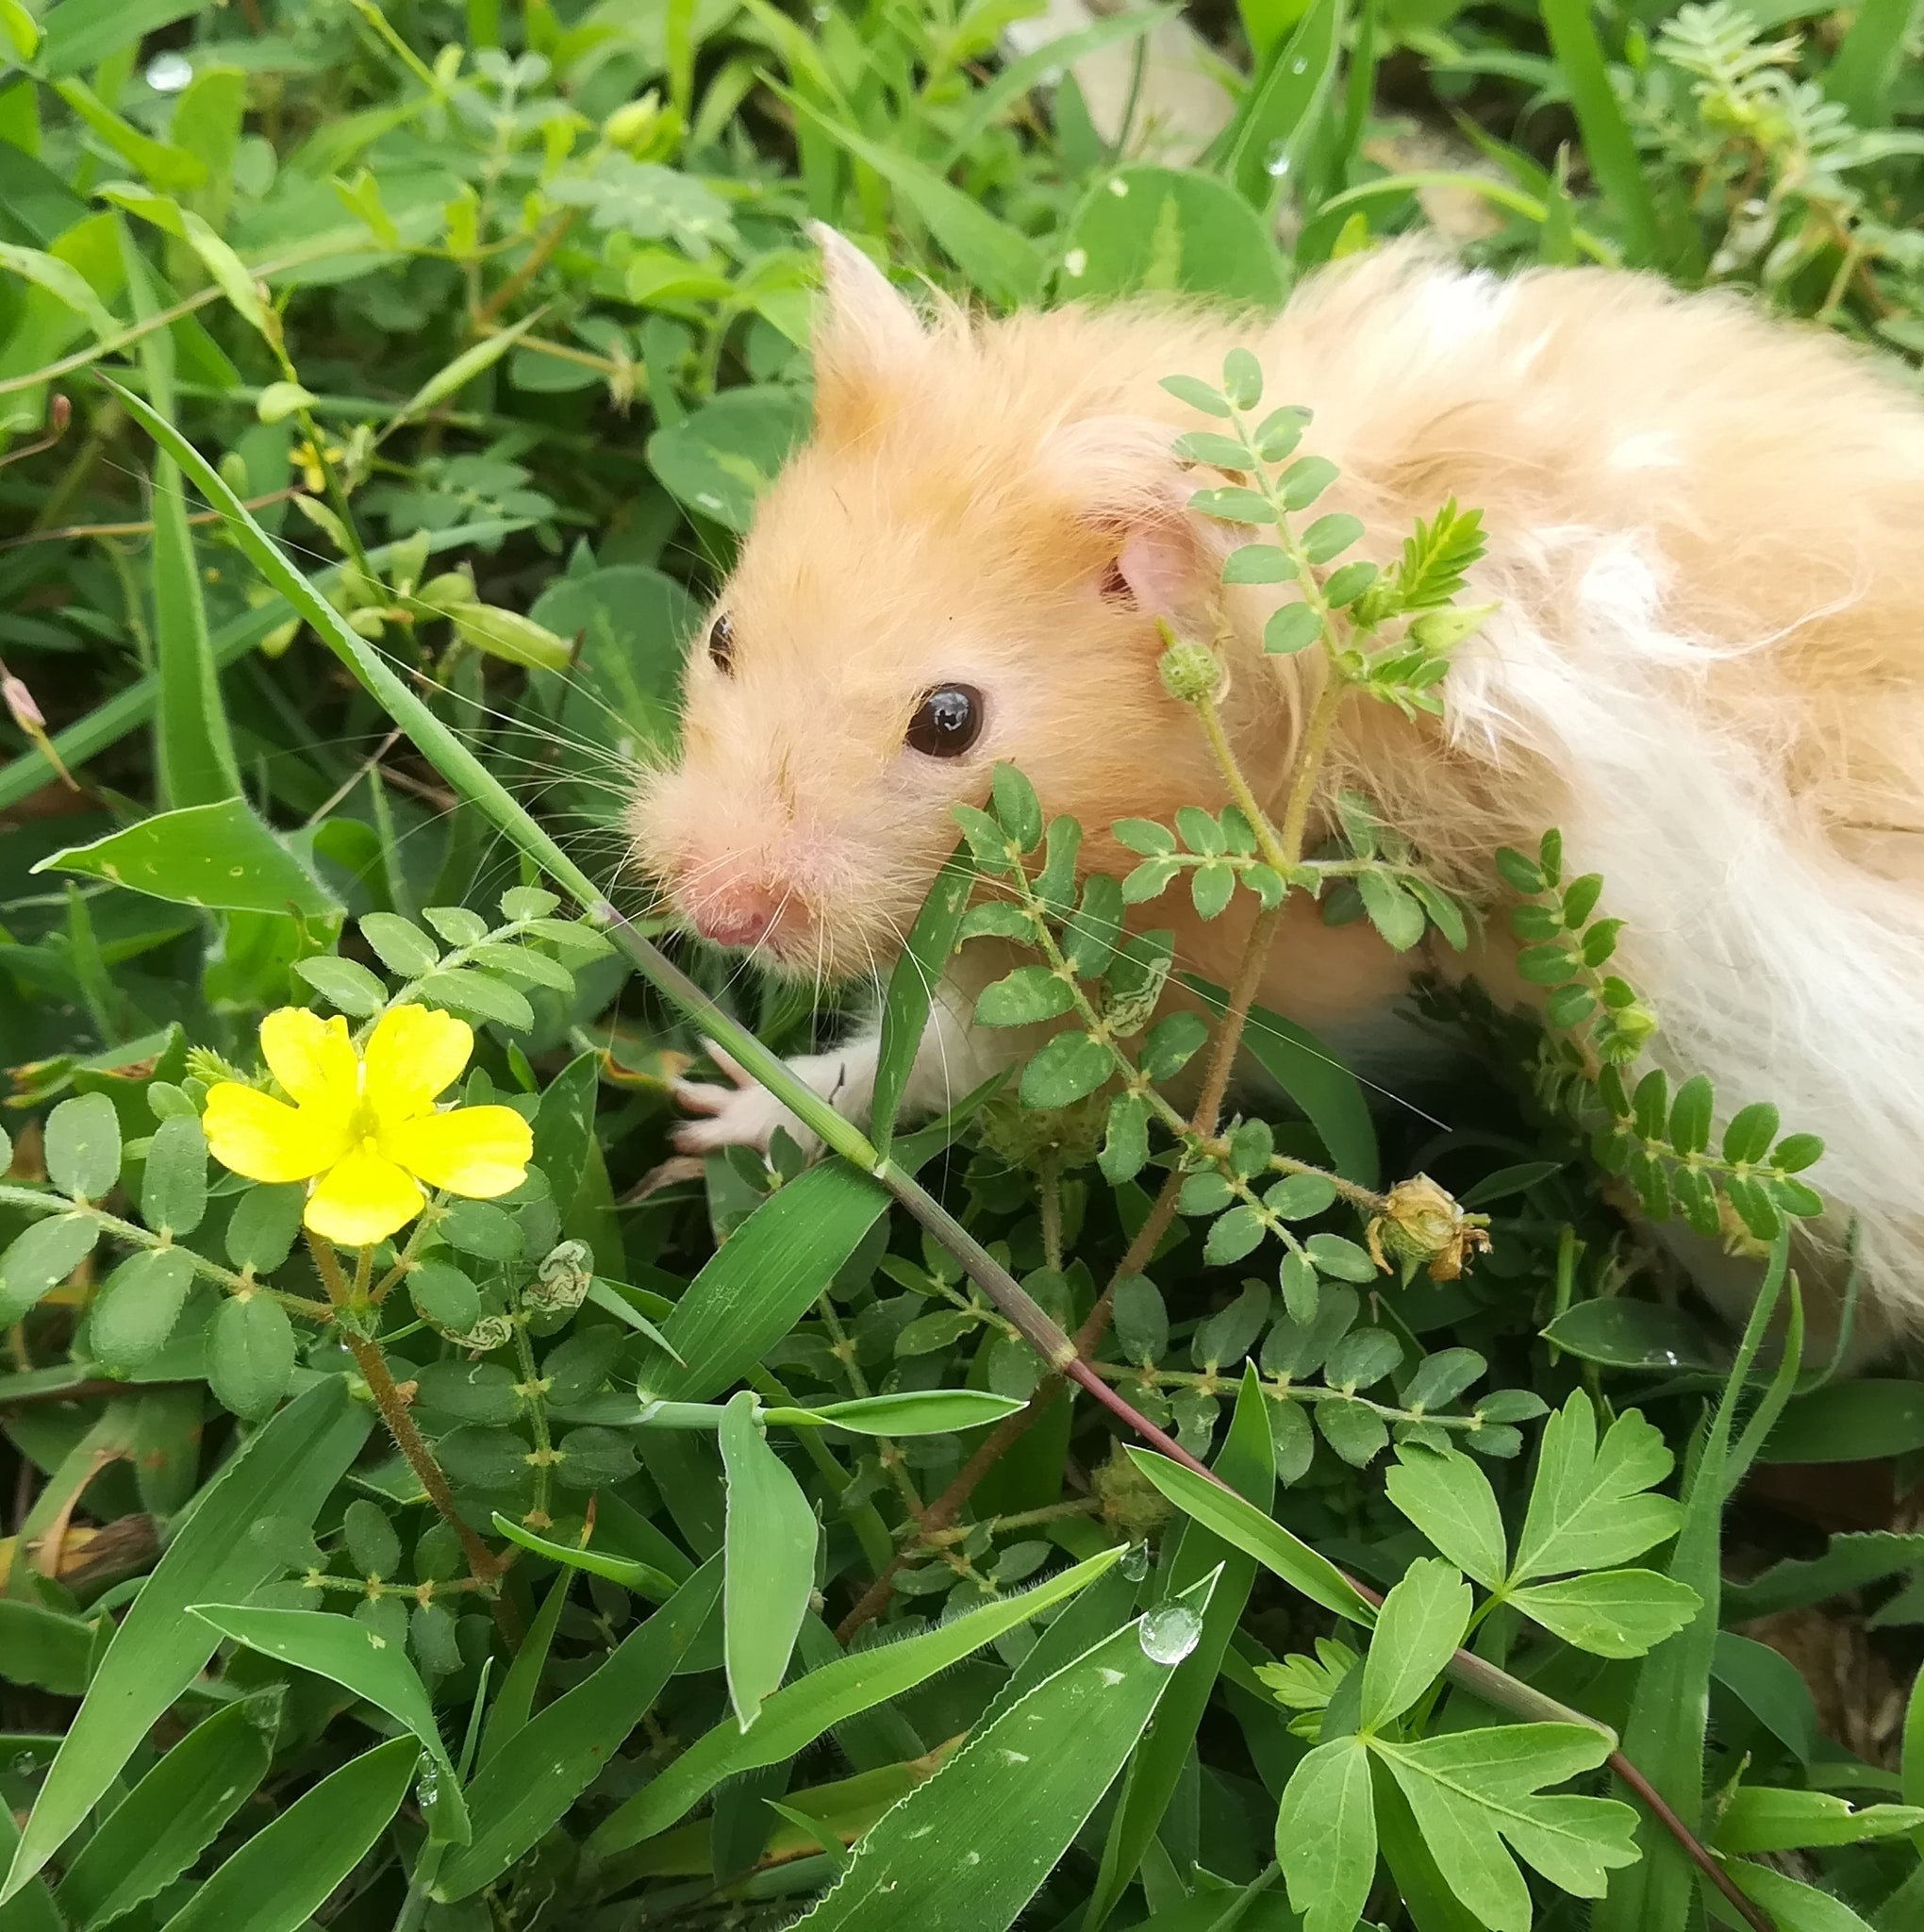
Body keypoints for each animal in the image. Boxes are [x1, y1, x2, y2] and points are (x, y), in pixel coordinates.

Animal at [632, 224, 1924, 1348]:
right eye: (723, 636)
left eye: (949, 721)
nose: (714, 913)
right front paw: (692, 1088)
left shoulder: (1230, 998)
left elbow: (928, 1060)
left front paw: (709, 1116)